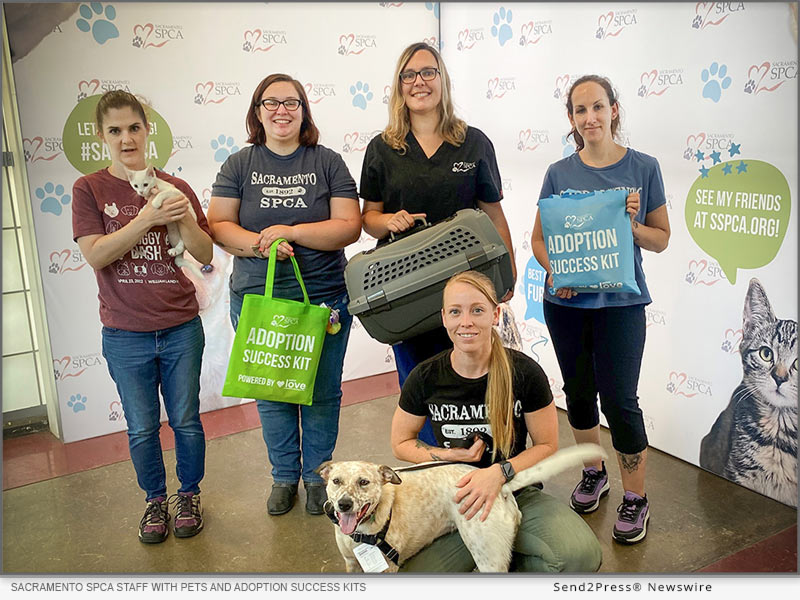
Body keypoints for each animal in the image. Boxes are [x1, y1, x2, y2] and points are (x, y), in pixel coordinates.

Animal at [316, 442, 604, 576]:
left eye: (364, 482)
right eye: (336, 481)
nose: (344, 504)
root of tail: (498, 484)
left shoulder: (388, 569)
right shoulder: (351, 564)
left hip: (488, 557)